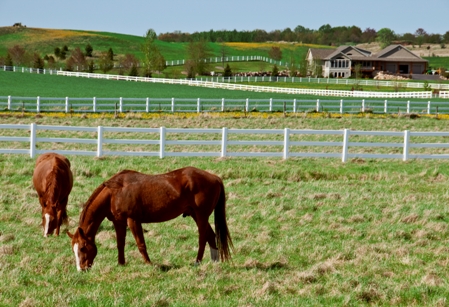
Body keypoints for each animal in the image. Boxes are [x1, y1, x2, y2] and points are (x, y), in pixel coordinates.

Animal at [68, 167, 234, 270]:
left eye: (82, 248)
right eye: (74, 249)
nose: (81, 269)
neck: (115, 192)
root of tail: (215, 178)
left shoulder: (133, 220)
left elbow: (141, 244)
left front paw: (148, 264)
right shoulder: (118, 222)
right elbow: (120, 244)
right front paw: (121, 264)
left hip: (201, 216)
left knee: (202, 239)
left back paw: (197, 262)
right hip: (196, 215)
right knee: (211, 236)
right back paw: (213, 263)